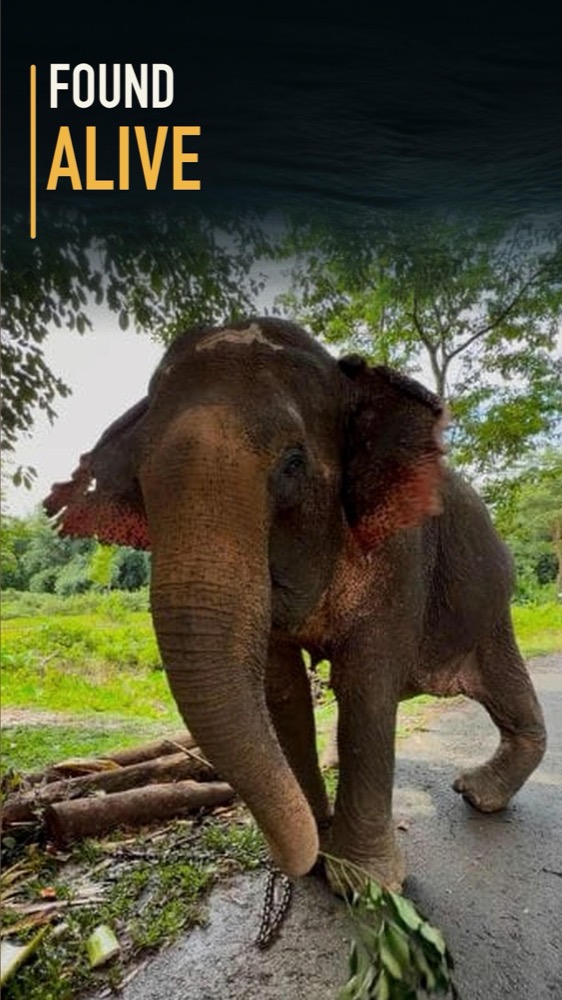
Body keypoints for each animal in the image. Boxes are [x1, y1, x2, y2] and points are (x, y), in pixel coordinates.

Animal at [44, 317, 546, 892]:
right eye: (138, 483)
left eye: (293, 463)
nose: (305, 854)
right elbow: (280, 689)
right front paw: (320, 848)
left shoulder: (402, 553)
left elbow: (366, 684)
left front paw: (362, 881)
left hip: (490, 602)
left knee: (504, 684)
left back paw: (476, 794)